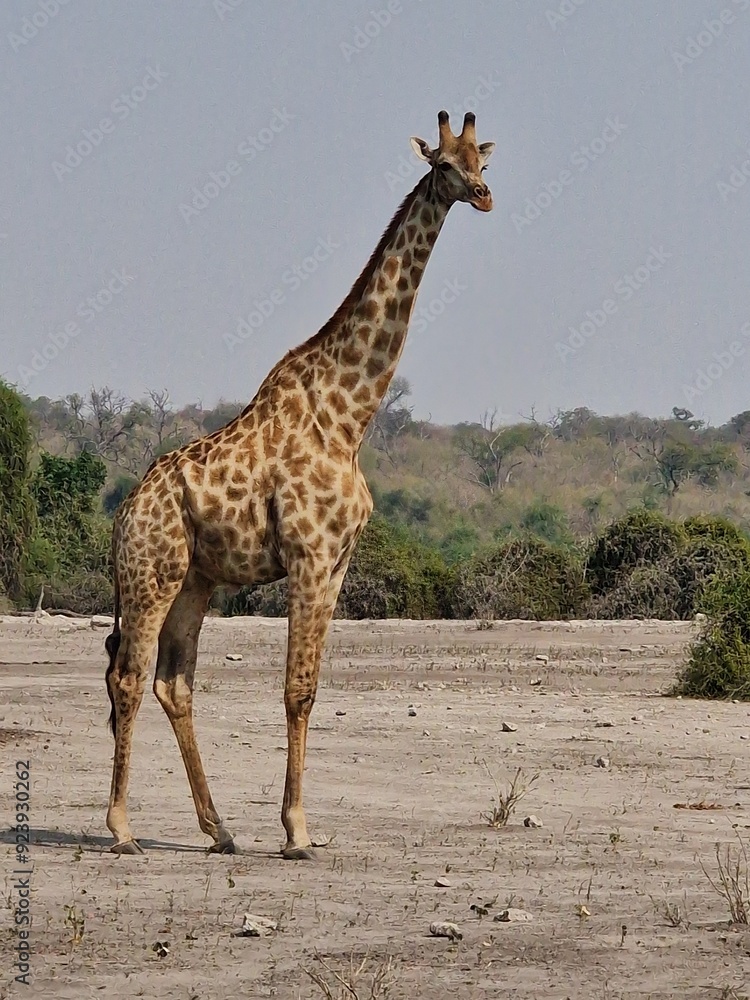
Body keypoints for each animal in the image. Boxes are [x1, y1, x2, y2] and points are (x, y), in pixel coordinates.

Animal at [104, 109, 495, 857]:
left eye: (481, 161)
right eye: (442, 165)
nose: (486, 196)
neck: (349, 417)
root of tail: (125, 511)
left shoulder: (338, 562)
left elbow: (311, 688)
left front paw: (291, 827)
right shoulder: (309, 556)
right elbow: (294, 689)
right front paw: (296, 832)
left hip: (196, 580)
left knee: (173, 683)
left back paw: (219, 829)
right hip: (151, 575)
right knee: (129, 675)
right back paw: (121, 829)